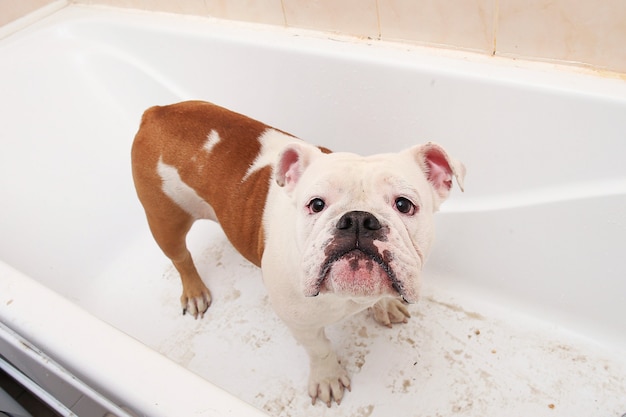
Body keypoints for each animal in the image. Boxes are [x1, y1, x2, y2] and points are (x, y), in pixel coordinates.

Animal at [132, 101, 464, 406]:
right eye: (316, 204)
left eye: (404, 204)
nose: (358, 219)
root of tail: (158, 111)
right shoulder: (300, 323)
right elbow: (320, 349)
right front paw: (327, 377)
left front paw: (384, 304)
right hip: (165, 219)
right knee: (181, 257)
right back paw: (194, 290)